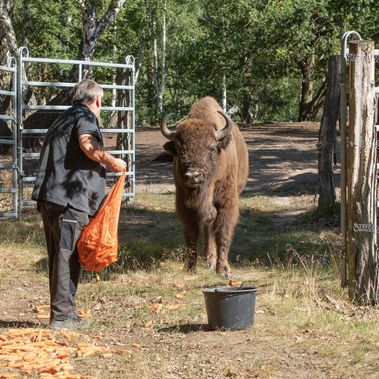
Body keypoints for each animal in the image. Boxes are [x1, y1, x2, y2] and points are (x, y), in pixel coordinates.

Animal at [161, 96, 249, 276]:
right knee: (208, 226)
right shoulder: (184, 204)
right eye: (179, 150)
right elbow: (192, 234)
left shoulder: (227, 201)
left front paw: (223, 270)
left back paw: (212, 261)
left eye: (211, 148)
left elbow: (223, 231)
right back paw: (208, 259)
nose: (193, 175)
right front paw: (190, 267)